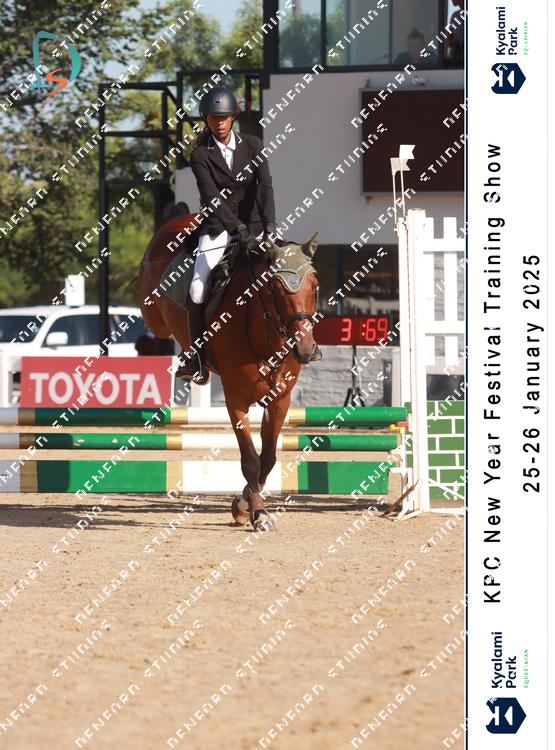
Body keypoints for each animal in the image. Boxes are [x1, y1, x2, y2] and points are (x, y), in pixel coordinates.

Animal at [139, 205, 320, 531]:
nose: (305, 350)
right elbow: (250, 460)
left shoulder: (280, 400)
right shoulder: (236, 400)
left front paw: (244, 502)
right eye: (275, 288)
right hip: (153, 311)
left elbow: (267, 459)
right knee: (157, 319)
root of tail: (184, 219)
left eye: (315, 286)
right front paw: (256, 512)